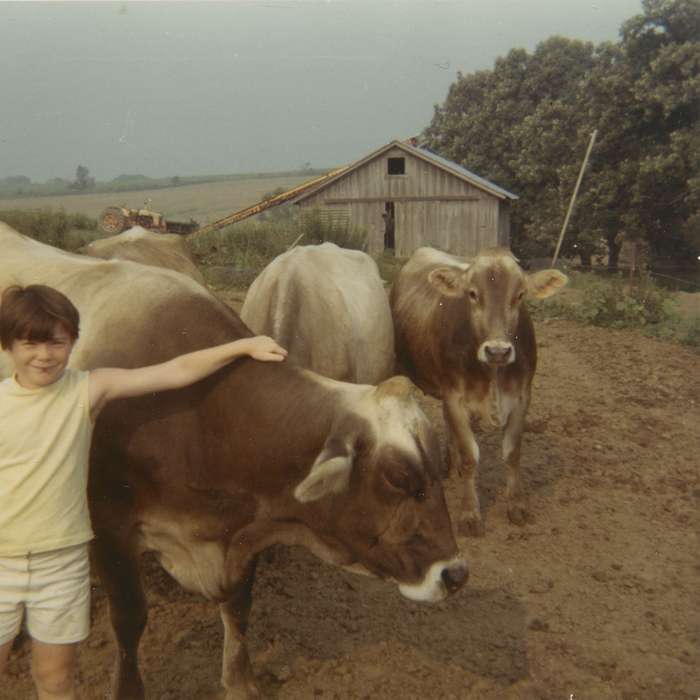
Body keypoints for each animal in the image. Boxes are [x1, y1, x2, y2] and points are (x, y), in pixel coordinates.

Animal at [392, 246, 568, 536]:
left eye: (520, 295)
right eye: (473, 294)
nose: (497, 350)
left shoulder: (521, 397)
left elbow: (512, 453)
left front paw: (516, 505)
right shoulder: (455, 397)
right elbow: (469, 457)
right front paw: (469, 513)